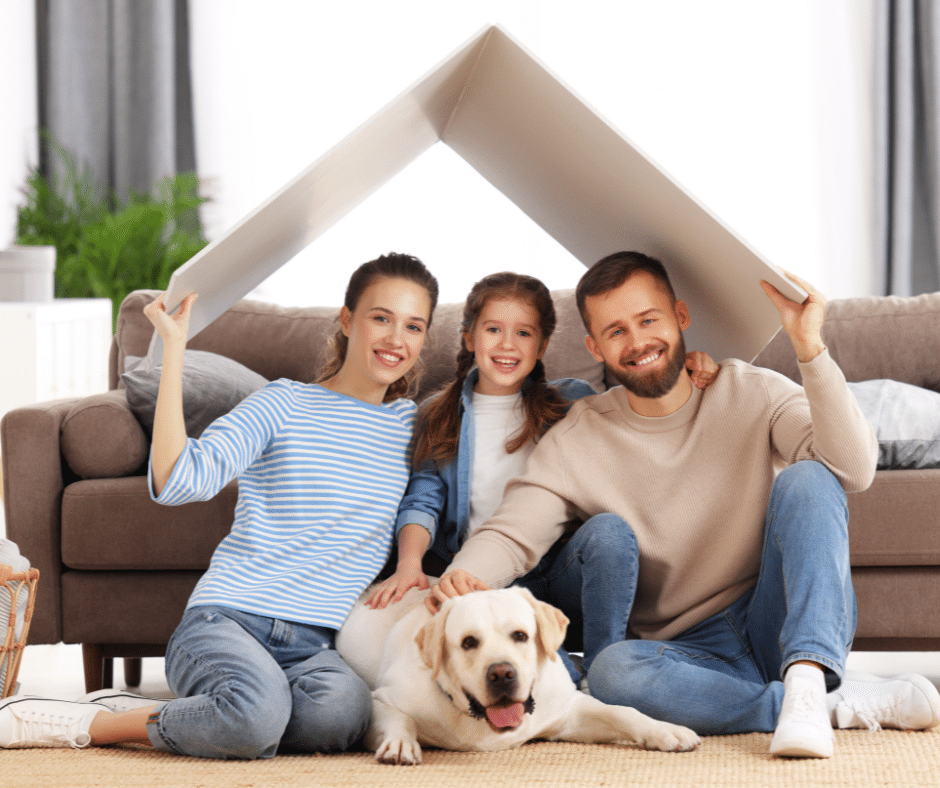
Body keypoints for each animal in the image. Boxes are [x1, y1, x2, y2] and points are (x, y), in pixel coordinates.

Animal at [334, 584, 700, 764]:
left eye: (521, 636)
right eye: (468, 642)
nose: (501, 674)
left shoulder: (567, 712)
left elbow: (621, 712)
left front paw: (665, 731)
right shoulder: (380, 699)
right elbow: (400, 718)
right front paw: (400, 743)